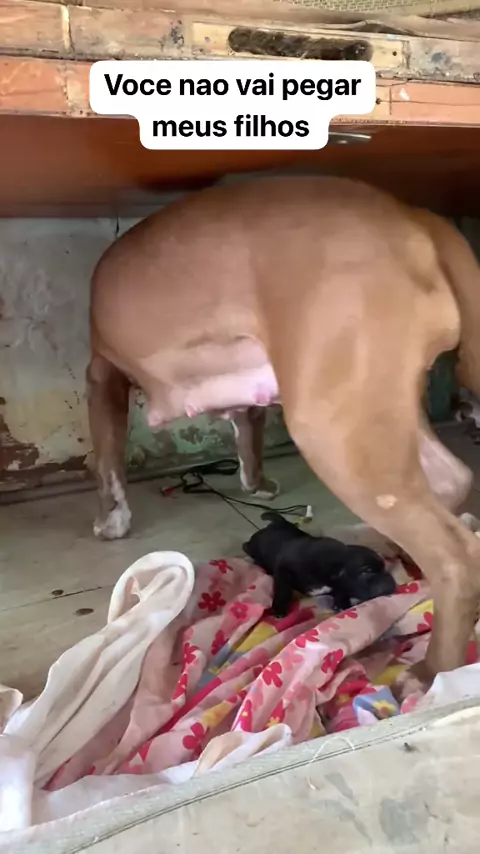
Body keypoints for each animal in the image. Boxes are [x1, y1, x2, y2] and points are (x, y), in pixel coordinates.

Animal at [242, 511, 396, 617]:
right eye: (366, 572)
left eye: (384, 567)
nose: (391, 582)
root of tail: (276, 523)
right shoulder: (283, 569)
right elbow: (284, 588)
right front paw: (279, 607)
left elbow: (340, 591)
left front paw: (341, 603)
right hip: (254, 548)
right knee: (248, 548)